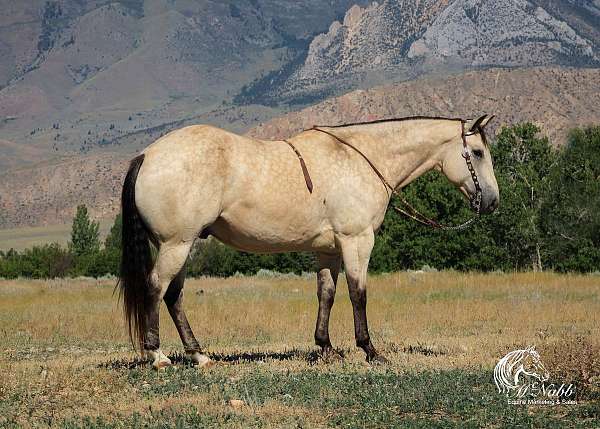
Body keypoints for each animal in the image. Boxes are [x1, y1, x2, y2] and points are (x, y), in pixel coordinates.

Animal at [117, 113, 496, 368]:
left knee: (174, 296)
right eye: (477, 152)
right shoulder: (357, 241)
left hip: (181, 245)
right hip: (176, 244)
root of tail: (147, 155)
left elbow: (326, 294)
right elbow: (358, 294)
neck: (361, 158)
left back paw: (199, 355)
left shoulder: (327, 251)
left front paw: (326, 347)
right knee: (156, 288)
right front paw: (370, 350)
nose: (491, 202)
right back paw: (158, 356)